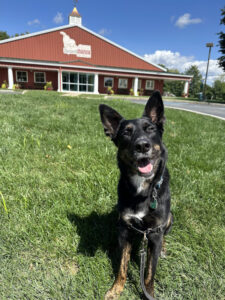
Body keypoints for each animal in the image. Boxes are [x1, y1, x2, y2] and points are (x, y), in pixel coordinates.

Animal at [99, 91, 173, 300]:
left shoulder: (154, 233)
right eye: (126, 132)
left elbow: (149, 272)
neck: (143, 189)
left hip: (169, 219)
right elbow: (122, 266)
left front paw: (149, 293)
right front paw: (116, 290)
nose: (142, 145)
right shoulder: (125, 229)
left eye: (150, 129)